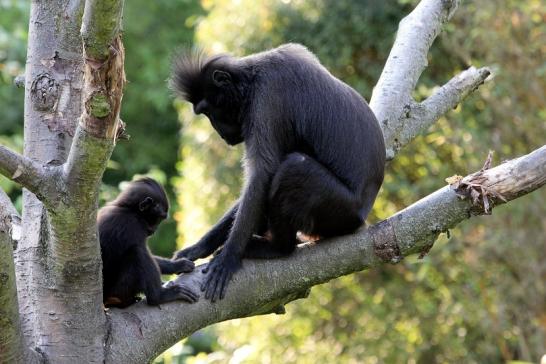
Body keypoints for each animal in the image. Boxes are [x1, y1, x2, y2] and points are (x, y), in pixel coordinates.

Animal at [99, 177, 199, 308]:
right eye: (159, 218)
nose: (155, 229)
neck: (128, 209)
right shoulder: (134, 225)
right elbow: (143, 251)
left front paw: (178, 264)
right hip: (118, 290)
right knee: (138, 252)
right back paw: (159, 296)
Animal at [170, 42, 382, 302]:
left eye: (207, 110)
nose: (219, 132)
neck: (251, 77)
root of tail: (361, 217)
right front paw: (199, 247)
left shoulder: (266, 97)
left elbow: (262, 172)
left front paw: (229, 257)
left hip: (340, 212)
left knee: (294, 166)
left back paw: (277, 247)